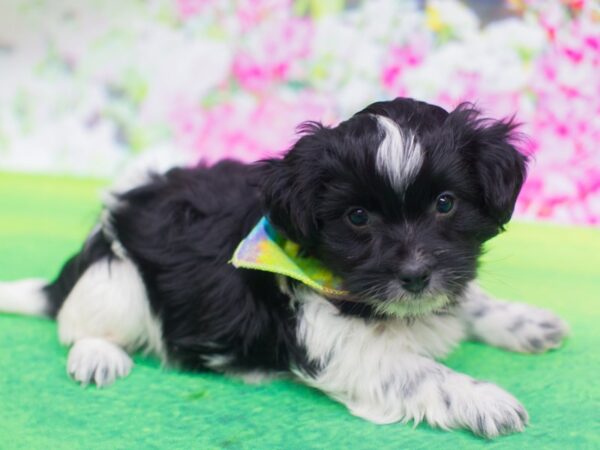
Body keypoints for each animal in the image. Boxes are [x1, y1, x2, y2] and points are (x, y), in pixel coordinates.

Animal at [0, 97, 568, 436]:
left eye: (445, 204)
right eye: (357, 217)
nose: (413, 276)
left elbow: (468, 301)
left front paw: (525, 321)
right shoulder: (340, 348)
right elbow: (419, 372)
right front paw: (484, 401)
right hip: (116, 280)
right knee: (78, 325)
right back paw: (98, 356)